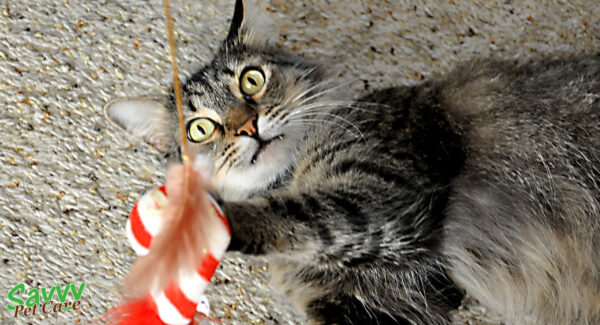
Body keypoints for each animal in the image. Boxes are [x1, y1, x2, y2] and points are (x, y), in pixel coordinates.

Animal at [105, 1, 600, 322]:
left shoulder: (385, 198)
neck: (289, 177)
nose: (248, 127)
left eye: (252, 80)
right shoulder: (380, 303)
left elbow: (301, 214)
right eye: (200, 129)